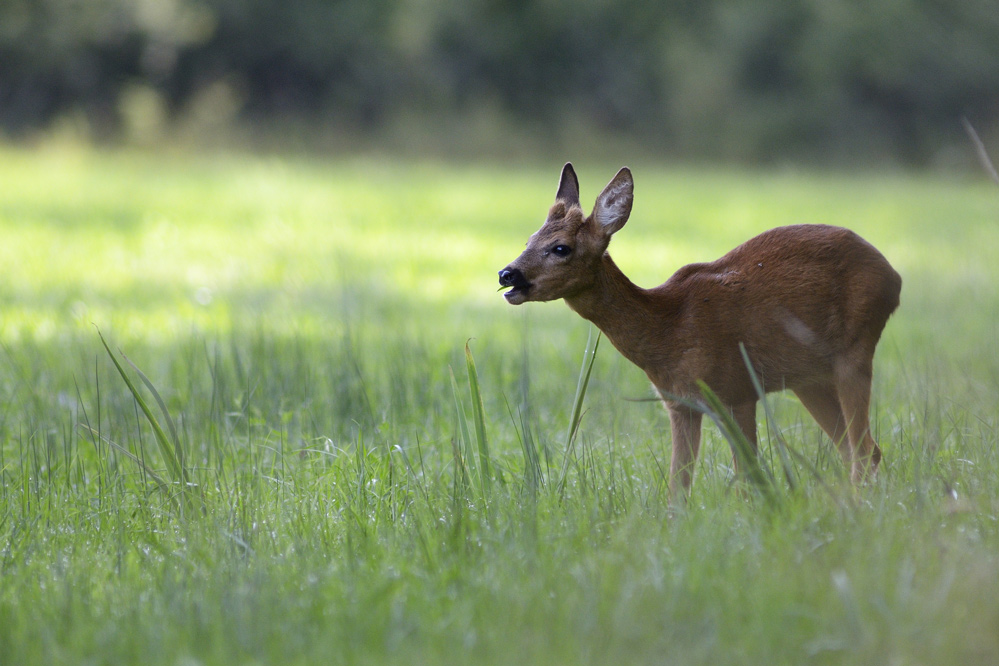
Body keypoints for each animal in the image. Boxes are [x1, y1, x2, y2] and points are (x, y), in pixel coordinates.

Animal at [500, 163, 908, 496]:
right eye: (528, 240)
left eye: (561, 248)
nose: (507, 274)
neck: (669, 327)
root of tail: (893, 275)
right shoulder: (680, 404)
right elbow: (678, 488)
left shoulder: (738, 388)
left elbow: (748, 477)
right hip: (808, 377)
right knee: (857, 450)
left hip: (855, 348)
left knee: (863, 450)